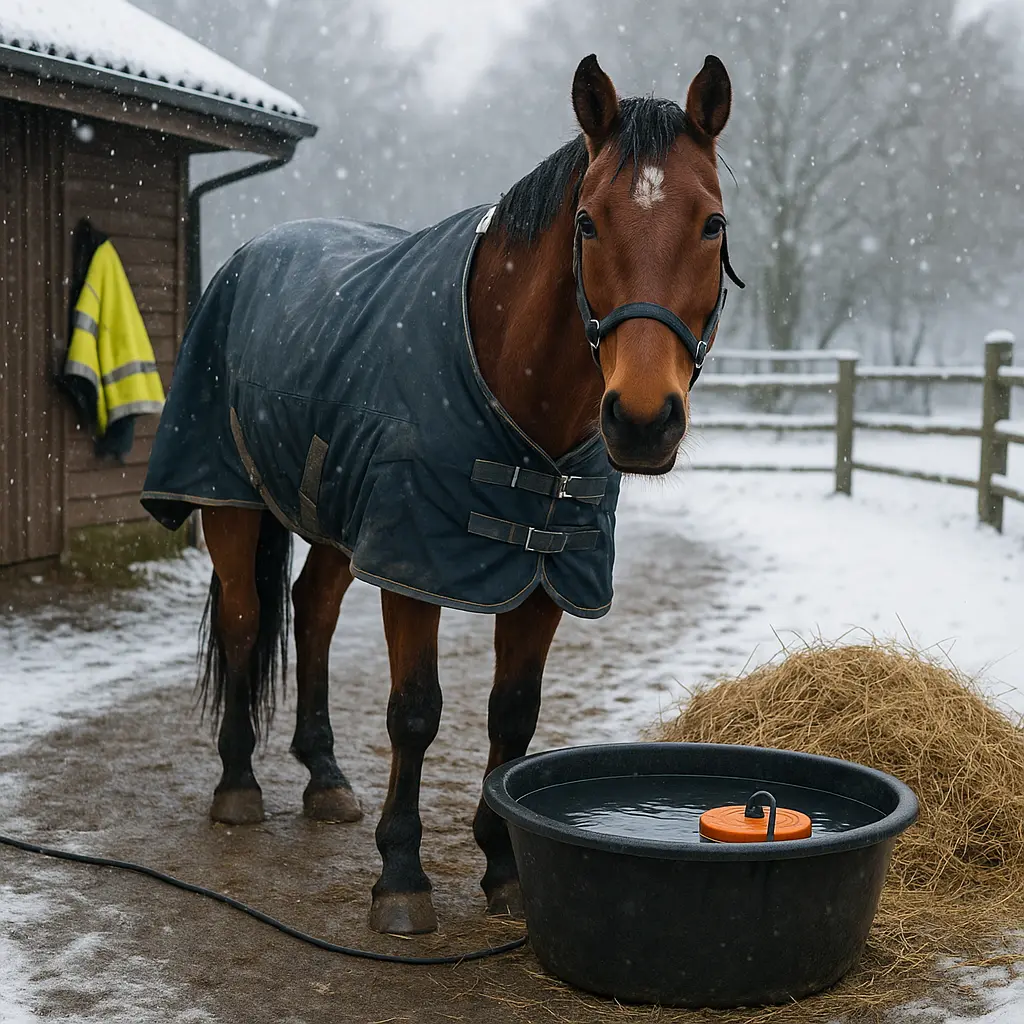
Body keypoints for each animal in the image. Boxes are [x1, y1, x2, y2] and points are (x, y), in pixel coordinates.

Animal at [140, 53, 742, 936]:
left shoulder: (544, 579)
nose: (640, 420)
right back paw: (239, 784)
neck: (523, 404)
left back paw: (324, 776)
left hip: (338, 521)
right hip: (229, 504)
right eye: (588, 223)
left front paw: (504, 866)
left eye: (711, 224)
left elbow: (512, 714)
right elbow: (416, 712)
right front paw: (401, 876)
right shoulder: (413, 565)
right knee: (248, 623)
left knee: (312, 610)